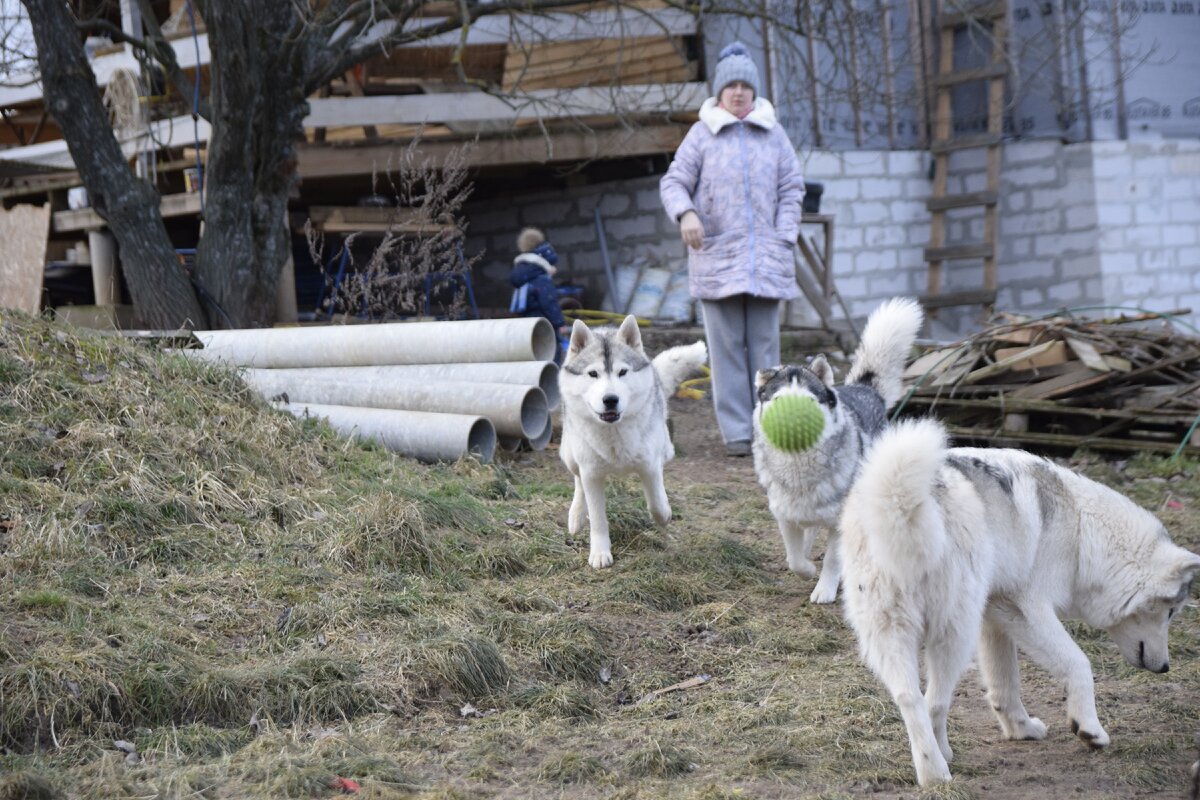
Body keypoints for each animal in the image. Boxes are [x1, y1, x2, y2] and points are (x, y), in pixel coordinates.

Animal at [556, 311, 705, 568]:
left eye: (622, 372)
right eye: (593, 374)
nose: (610, 399)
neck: (613, 432)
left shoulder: (649, 466)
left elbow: (656, 503)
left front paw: (665, 515)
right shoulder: (591, 473)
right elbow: (597, 517)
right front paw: (600, 553)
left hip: (666, 449)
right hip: (570, 455)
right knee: (577, 480)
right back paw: (576, 517)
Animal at [748, 297, 926, 604]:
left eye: (809, 400)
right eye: (778, 399)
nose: (792, 422)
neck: (799, 468)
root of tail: (863, 389)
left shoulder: (839, 523)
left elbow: (832, 559)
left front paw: (824, 589)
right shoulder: (784, 515)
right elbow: (793, 558)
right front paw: (807, 569)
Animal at [840, 422, 1200, 786]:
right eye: (1171, 612)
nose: (1166, 668)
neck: (1082, 531)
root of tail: (901, 502)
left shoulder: (995, 617)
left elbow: (1005, 686)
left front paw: (1021, 730)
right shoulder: (1027, 609)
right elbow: (1078, 664)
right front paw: (1090, 730)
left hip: (894, 633)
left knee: (911, 698)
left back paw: (931, 769)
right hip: (954, 635)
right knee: (935, 702)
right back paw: (940, 766)